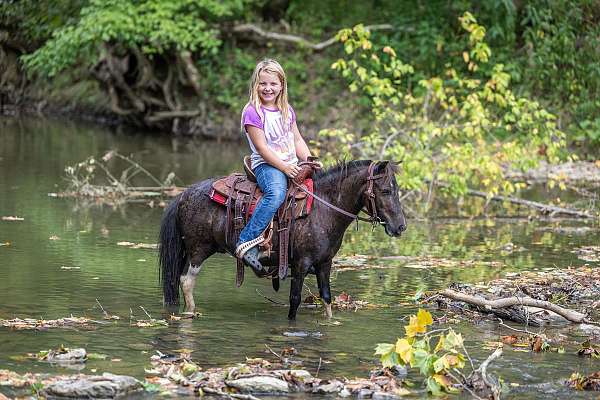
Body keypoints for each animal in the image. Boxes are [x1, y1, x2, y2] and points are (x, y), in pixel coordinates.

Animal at [157, 161, 406, 320]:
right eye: (385, 190)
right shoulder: (301, 264)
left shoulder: (325, 263)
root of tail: (183, 194)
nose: (400, 226)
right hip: (198, 249)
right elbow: (295, 299)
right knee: (187, 282)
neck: (324, 209)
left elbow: (326, 297)